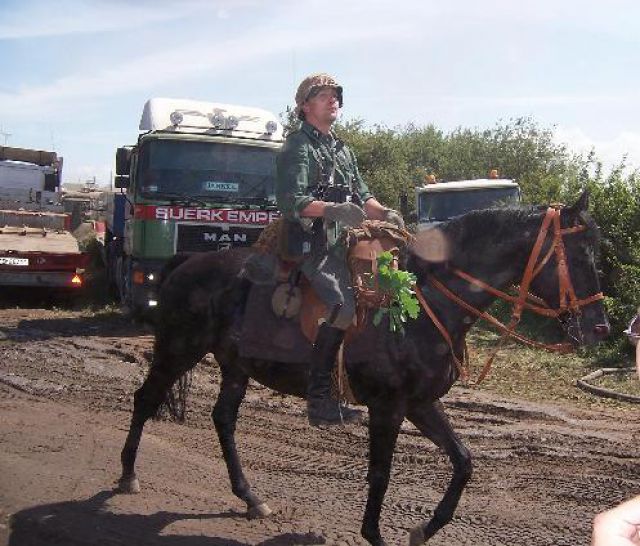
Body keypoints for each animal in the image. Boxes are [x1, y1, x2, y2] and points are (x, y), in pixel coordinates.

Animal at [117, 192, 609, 546]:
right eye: (580, 253)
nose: (601, 327)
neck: (425, 305)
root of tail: (186, 262)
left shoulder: (420, 404)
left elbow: (464, 462)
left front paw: (424, 528)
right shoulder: (387, 407)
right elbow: (380, 474)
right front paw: (375, 534)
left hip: (235, 366)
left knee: (223, 419)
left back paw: (250, 497)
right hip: (177, 351)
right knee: (145, 399)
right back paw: (127, 475)